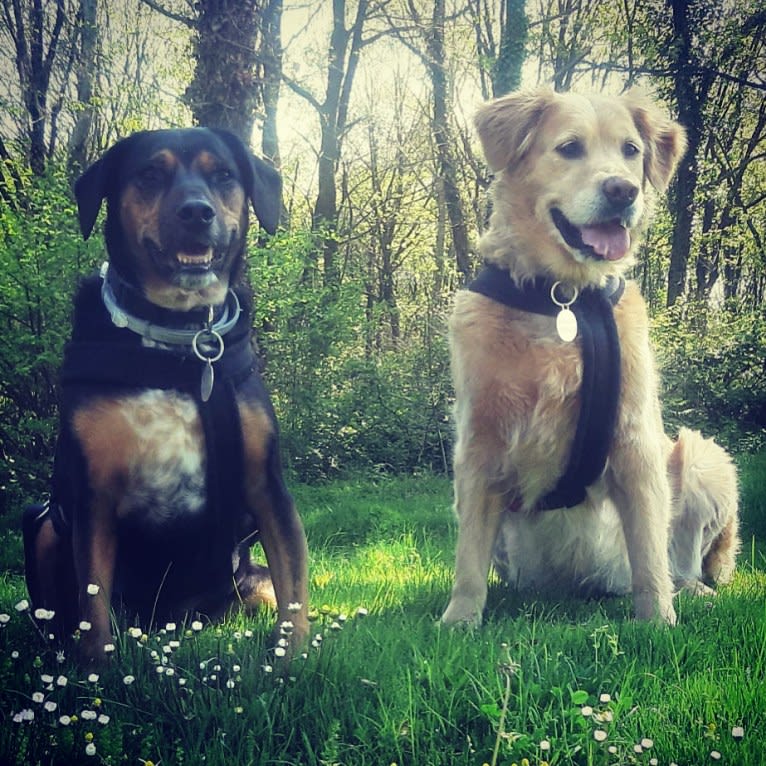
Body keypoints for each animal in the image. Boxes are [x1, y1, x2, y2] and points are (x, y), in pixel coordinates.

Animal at [23, 129, 308, 664]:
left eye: (223, 175)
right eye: (150, 174)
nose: (197, 212)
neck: (180, 339)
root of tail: (174, 621)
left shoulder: (268, 486)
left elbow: (295, 590)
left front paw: (294, 663)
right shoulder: (93, 495)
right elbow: (92, 608)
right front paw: (98, 673)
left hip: (248, 583)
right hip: (45, 522)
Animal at [440, 91, 740, 632]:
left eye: (630, 151)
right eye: (569, 148)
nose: (623, 190)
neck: (564, 297)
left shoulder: (636, 440)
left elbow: (649, 550)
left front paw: (658, 620)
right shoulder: (478, 446)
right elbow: (469, 555)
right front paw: (459, 621)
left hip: (704, 457)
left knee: (681, 561)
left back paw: (691, 590)